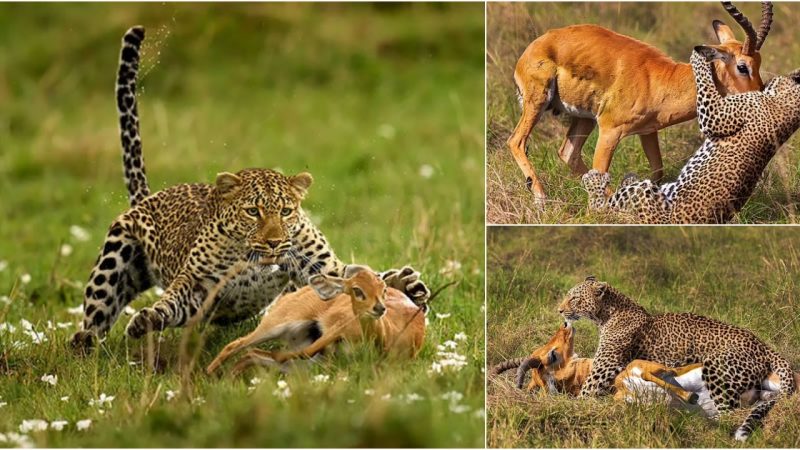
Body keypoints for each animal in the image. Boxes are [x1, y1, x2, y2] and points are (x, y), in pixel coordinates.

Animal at [69, 26, 432, 350]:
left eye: (285, 211)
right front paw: (149, 318)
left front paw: (401, 285)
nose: (273, 243)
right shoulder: (198, 286)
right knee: (97, 314)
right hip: (114, 260)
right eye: (252, 212)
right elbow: (172, 302)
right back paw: (84, 343)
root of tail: (147, 199)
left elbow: (350, 277)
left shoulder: (321, 270)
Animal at [560, 276, 796, 442]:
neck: (607, 314)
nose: (559, 310)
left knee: (730, 413)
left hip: (716, 367)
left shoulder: (605, 365)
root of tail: (763, 345)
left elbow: (585, 391)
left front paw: (570, 408)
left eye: (574, 298)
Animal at [580, 46, 800, 225]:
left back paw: (595, 178)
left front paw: (698, 56)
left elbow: (705, 82)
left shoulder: (715, 116)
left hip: (644, 195)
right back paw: (625, 177)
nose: (763, 84)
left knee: (601, 208)